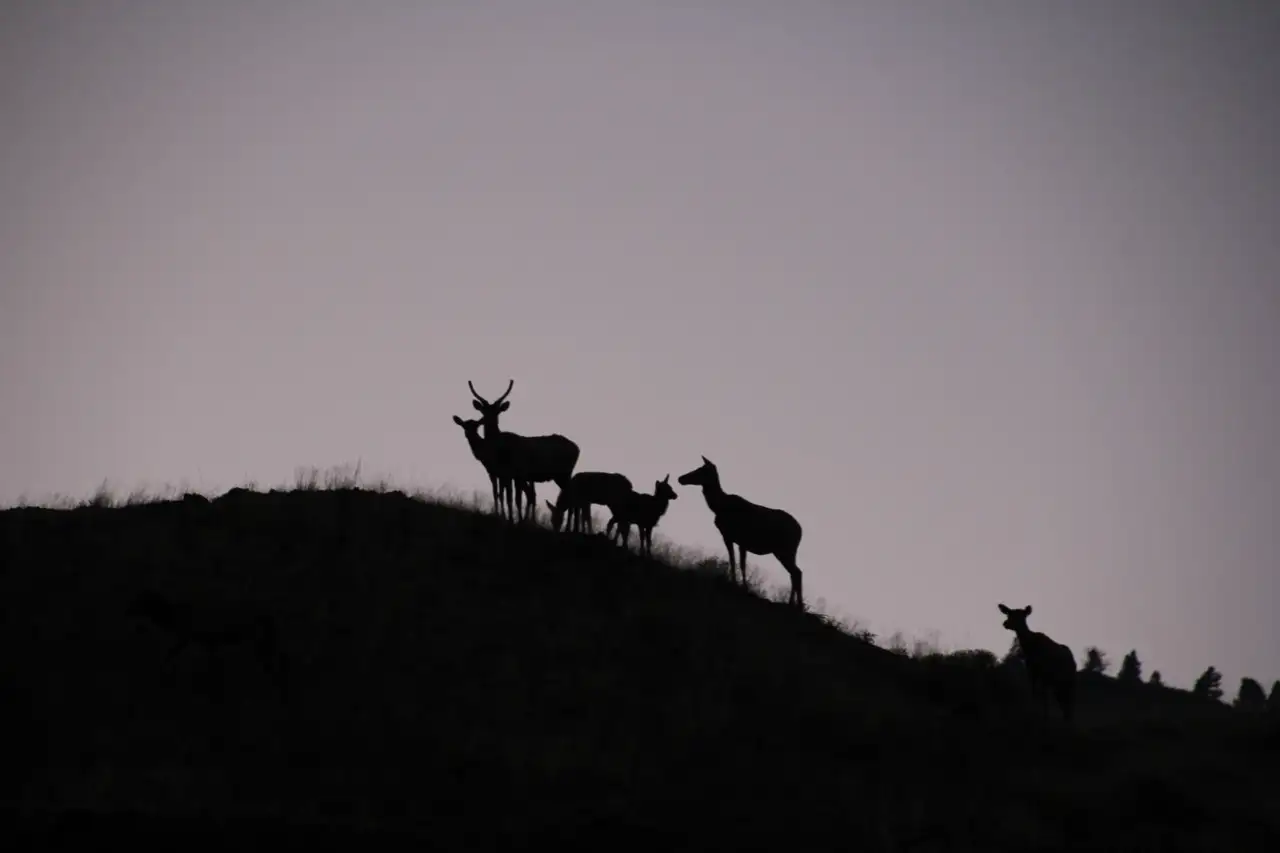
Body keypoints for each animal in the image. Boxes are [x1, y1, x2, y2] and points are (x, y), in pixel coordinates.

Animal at [471, 376, 581, 522]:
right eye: (483, 410)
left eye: (497, 411)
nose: (484, 420)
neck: (499, 450)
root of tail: (578, 448)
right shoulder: (508, 474)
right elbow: (510, 497)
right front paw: (513, 519)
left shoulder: (517, 472)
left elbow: (516, 498)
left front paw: (517, 520)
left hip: (563, 473)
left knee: (574, 498)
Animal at [675, 455, 803, 607]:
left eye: (701, 470)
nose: (681, 478)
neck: (718, 506)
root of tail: (801, 531)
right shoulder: (738, 540)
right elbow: (738, 562)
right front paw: (740, 585)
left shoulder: (731, 536)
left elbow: (736, 562)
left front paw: (739, 585)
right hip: (788, 551)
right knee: (794, 573)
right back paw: (793, 603)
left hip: (785, 549)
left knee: (796, 572)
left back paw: (797, 604)